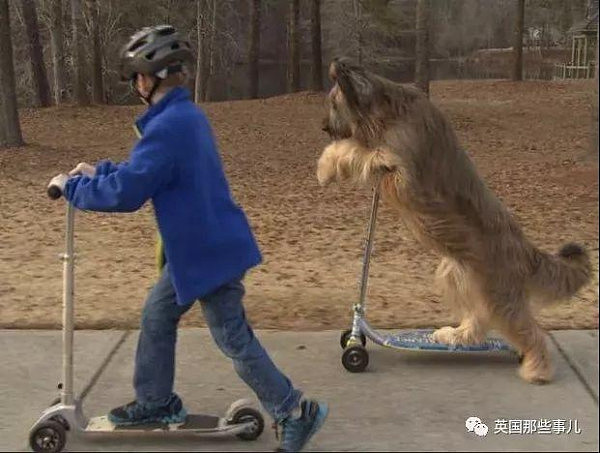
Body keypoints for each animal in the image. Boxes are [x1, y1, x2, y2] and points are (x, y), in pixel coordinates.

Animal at [318, 55, 592, 382]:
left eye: (333, 102)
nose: (323, 127)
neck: (389, 112)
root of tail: (526, 250)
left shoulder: (405, 176)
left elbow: (360, 151)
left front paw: (329, 165)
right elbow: (357, 149)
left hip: (500, 293)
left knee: (530, 331)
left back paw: (536, 368)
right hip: (457, 272)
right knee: (479, 318)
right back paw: (456, 335)